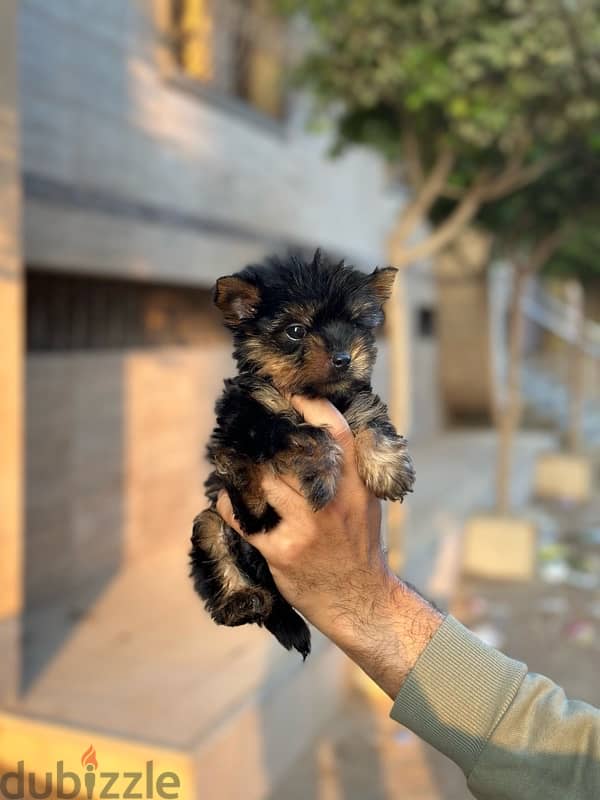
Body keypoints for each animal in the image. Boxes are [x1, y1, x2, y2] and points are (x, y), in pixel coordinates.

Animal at [190, 248, 414, 656]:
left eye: (354, 325)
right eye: (296, 331)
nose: (344, 357)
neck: (316, 392)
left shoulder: (354, 398)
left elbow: (370, 418)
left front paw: (389, 468)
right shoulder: (248, 417)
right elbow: (302, 434)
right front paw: (322, 472)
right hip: (211, 521)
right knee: (216, 548)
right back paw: (242, 596)